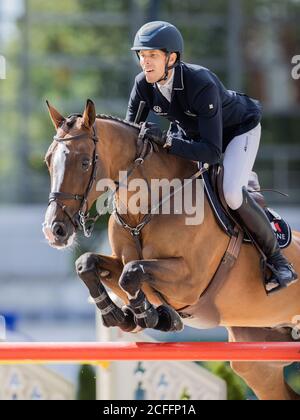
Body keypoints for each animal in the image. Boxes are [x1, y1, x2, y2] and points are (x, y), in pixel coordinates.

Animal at [43, 101, 300, 400]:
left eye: (84, 162)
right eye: (49, 161)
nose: (54, 230)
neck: (146, 209)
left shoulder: (189, 282)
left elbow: (132, 273)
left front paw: (151, 316)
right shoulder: (125, 262)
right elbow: (88, 264)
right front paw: (120, 315)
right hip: (258, 362)